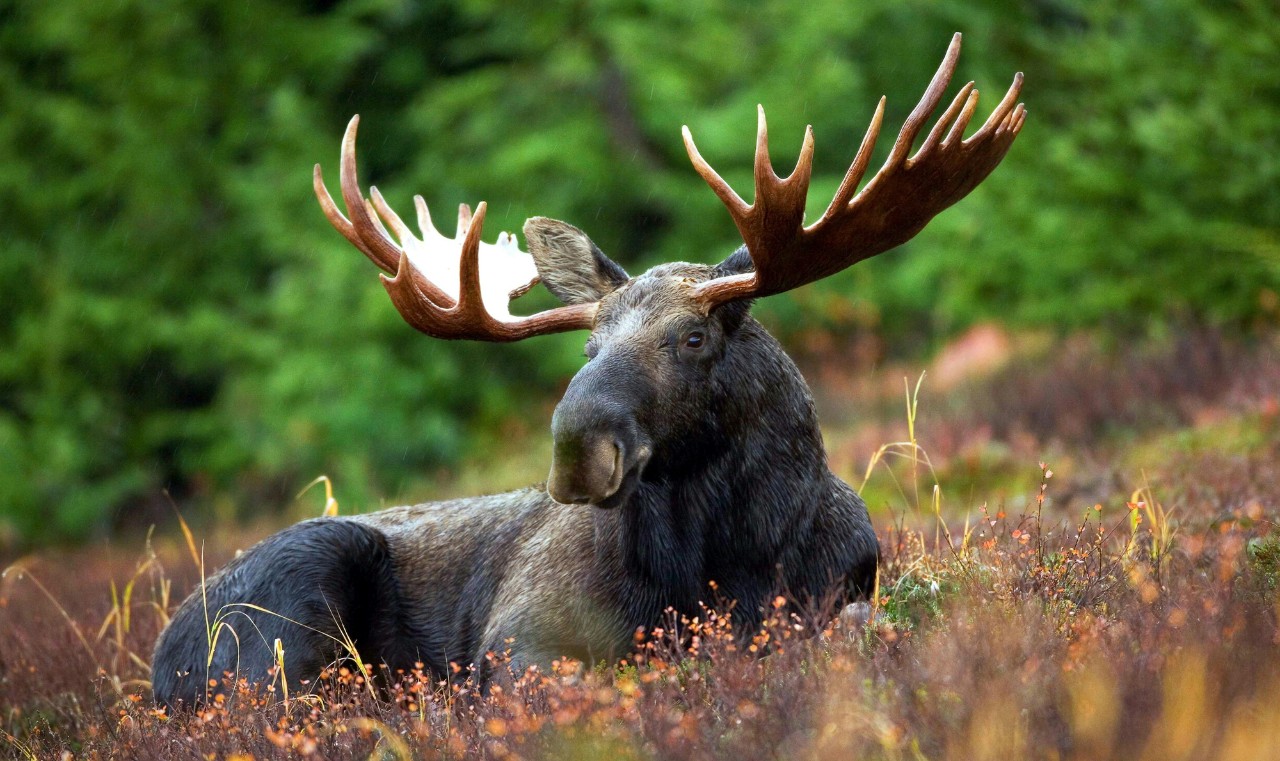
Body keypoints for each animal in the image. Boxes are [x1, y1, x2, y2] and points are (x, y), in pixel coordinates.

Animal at [151, 33, 1024, 708]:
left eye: (693, 337)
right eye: (588, 348)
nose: (577, 447)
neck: (726, 560)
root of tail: (160, 660)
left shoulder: (844, 591)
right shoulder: (519, 638)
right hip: (292, 603)